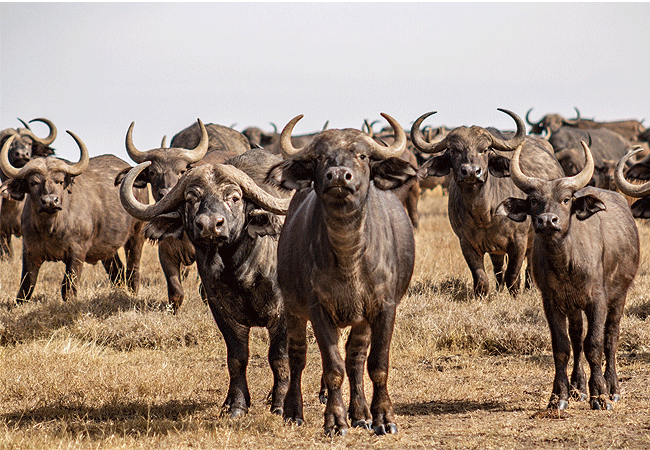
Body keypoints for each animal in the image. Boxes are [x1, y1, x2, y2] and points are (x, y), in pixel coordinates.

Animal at [1, 131, 147, 303]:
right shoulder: (29, 251)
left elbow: (68, 288)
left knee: (133, 268)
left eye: (60, 181)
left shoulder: (77, 253)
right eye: (33, 183)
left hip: (136, 235)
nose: (50, 201)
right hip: (108, 248)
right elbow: (25, 287)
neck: (50, 228)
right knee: (117, 271)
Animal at [120, 148, 291, 418]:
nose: (210, 225)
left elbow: (279, 357)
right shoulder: (220, 310)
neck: (240, 271)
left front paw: (281, 405)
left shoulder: (282, 313)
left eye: (234, 197)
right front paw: (236, 405)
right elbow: (237, 357)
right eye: (191, 198)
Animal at [266, 113, 417, 436]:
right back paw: (293, 411)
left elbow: (377, 364)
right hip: (294, 310)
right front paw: (335, 420)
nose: (337, 176)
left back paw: (360, 413)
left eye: (362, 155)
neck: (349, 255)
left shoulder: (384, 308)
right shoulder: (318, 309)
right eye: (320, 157)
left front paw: (383, 418)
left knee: (356, 358)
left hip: (362, 321)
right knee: (298, 356)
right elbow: (332, 367)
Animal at [412, 109, 565, 297]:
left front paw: (515, 294)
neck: (484, 213)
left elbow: (513, 274)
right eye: (454, 150)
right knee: (498, 269)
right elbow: (481, 276)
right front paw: (483, 294)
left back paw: (530, 287)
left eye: (484, 150)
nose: (471, 172)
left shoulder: (519, 241)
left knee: (528, 265)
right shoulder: (466, 242)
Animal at [496, 141, 639, 411]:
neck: (566, 264)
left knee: (611, 337)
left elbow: (594, 344)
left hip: (619, 295)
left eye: (565, 200)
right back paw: (578, 387)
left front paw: (600, 396)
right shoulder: (552, 302)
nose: (547, 221)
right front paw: (559, 396)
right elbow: (562, 346)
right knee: (576, 337)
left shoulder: (598, 301)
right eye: (534, 201)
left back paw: (612, 387)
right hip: (573, 307)